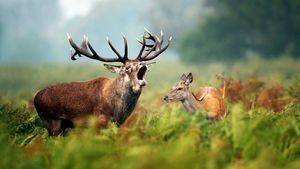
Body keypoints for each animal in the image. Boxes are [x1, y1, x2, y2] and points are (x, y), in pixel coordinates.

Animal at [33, 29, 171, 136]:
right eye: (127, 67)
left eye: (140, 63)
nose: (143, 65)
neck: (117, 110)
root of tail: (35, 97)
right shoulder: (99, 121)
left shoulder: (117, 123)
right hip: (51, 121)